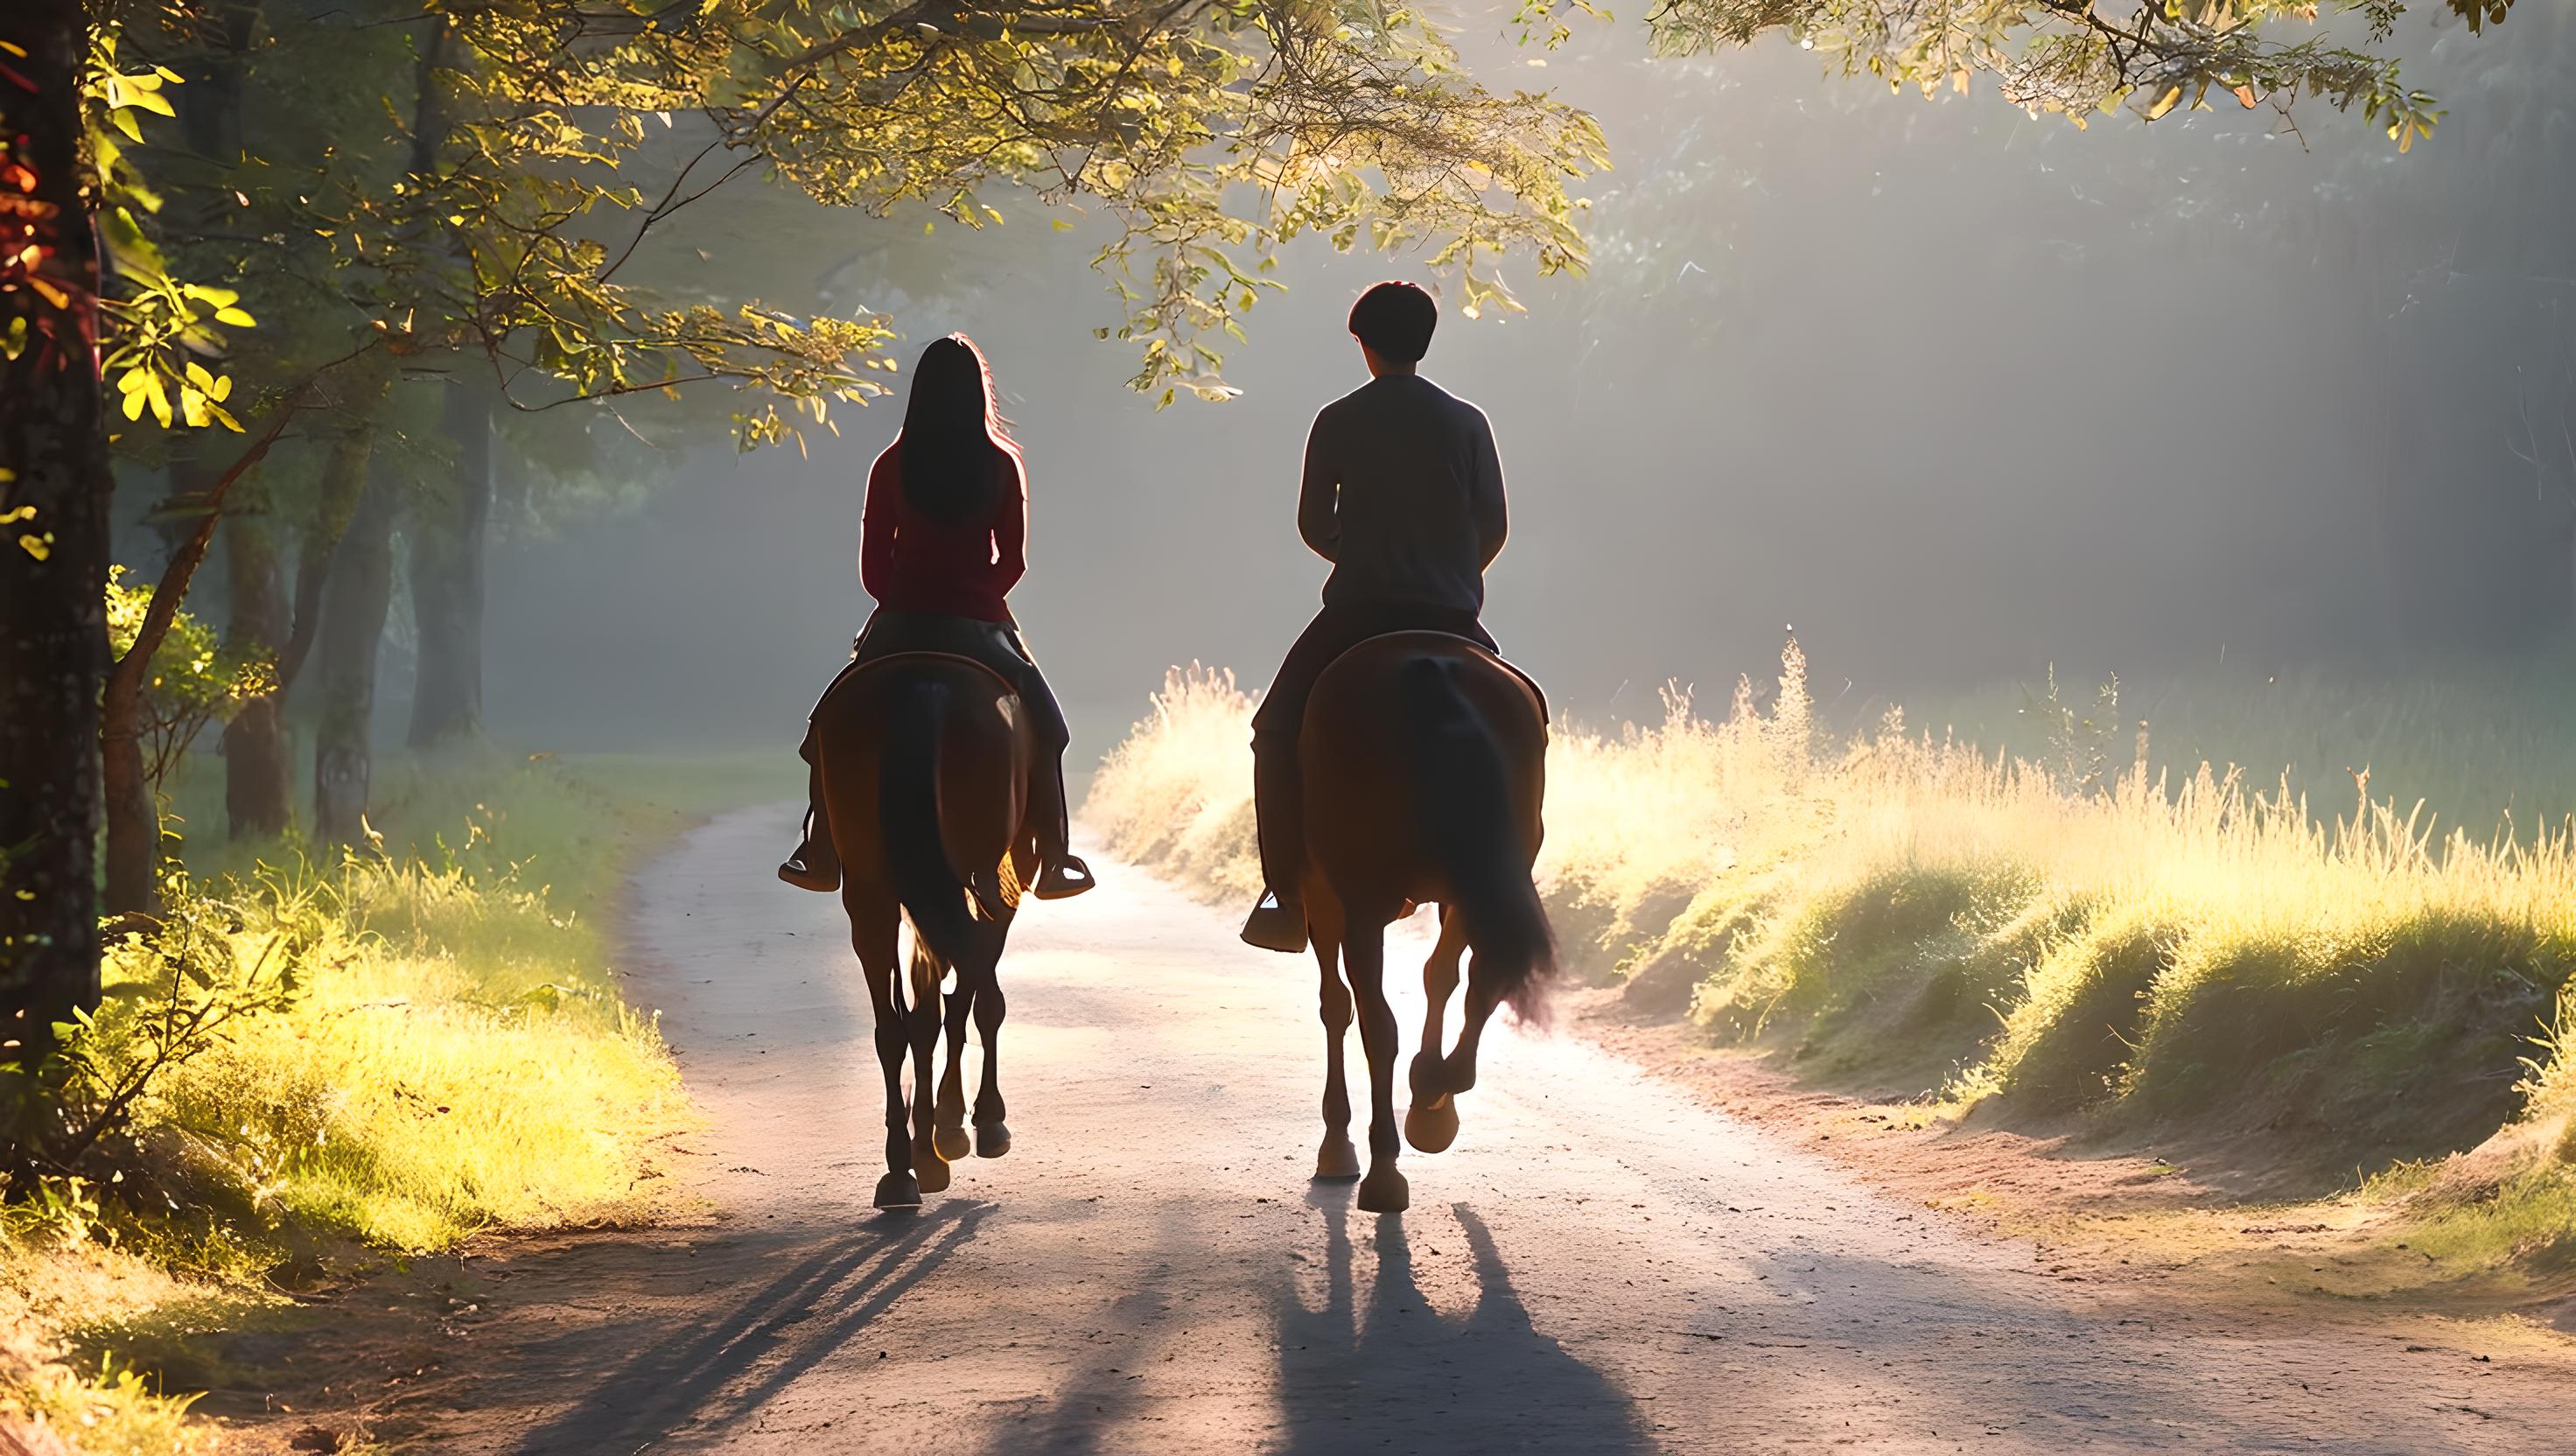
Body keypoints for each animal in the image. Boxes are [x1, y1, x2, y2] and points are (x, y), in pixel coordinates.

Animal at [814, 652, 1035, 1211]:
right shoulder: (1000, 884)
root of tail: (924, 685)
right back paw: (939, 1144)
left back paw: (901, 1169)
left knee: (894, 1027)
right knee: (956, 996)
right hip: (979, 875)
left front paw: (935, 1136)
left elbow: (930, 1010)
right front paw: (967, 1123)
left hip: (872, 893)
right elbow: (972, 1004)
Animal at [1298, 631, 1556, 1211]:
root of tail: (1429, 669)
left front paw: (1339, 1142)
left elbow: (1336, 1007)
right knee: (1478, 979)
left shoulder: (1323, 894)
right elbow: (1441, 976)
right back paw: (1437, 1093)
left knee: (1376, 1024)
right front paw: (1432, 1100)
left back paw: (1384, 1168)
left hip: (1361, 902)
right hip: (1479, 878)